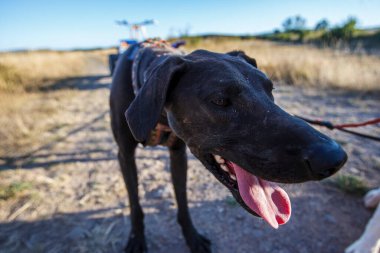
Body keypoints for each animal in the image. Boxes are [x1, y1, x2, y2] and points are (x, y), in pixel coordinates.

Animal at [110, 40, 348, 252]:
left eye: (270, 89)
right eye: (220, 100)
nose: (334, 157)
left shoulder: (178, 154)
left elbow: (183, 201)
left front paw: (192, 237)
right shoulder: (125, 155)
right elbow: (135, 204)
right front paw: (137, 239)